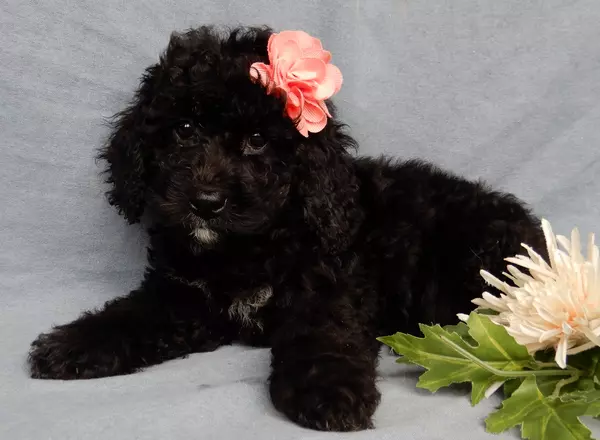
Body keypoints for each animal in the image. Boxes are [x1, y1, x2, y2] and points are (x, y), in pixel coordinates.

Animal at [27, 26, 544, 430]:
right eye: (184, 129)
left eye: (258, 140)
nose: (206, 203)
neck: (244, 249)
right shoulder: (180, 295)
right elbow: (132, 314)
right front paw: (72, 345)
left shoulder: (327, 286)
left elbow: (323, 335)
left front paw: (330, 393)